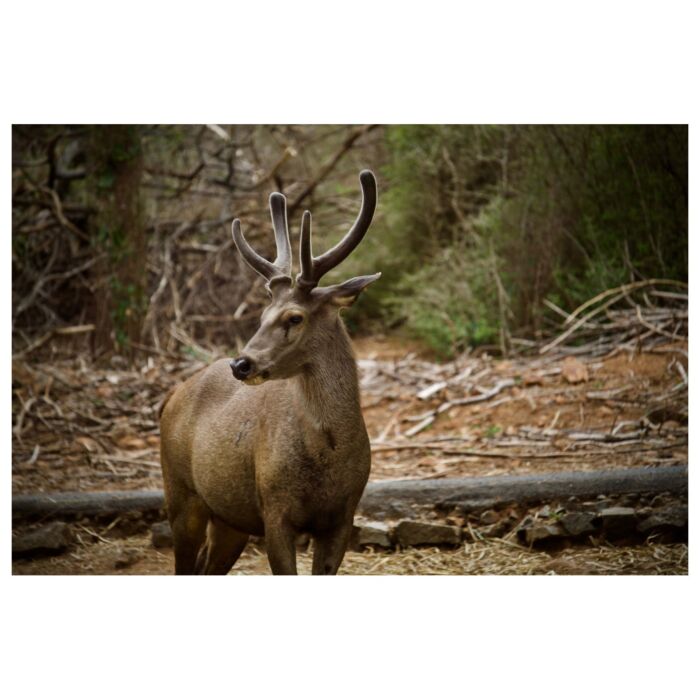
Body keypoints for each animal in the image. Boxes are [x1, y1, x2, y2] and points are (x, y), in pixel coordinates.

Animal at [159, 170, 380, 574]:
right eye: (262, 315)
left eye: (294, 317)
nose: (241, 363)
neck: (328, 458)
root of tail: (170, 396)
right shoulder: (275, 510)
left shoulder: (343, 517)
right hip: (180, 493)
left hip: (229, 518)